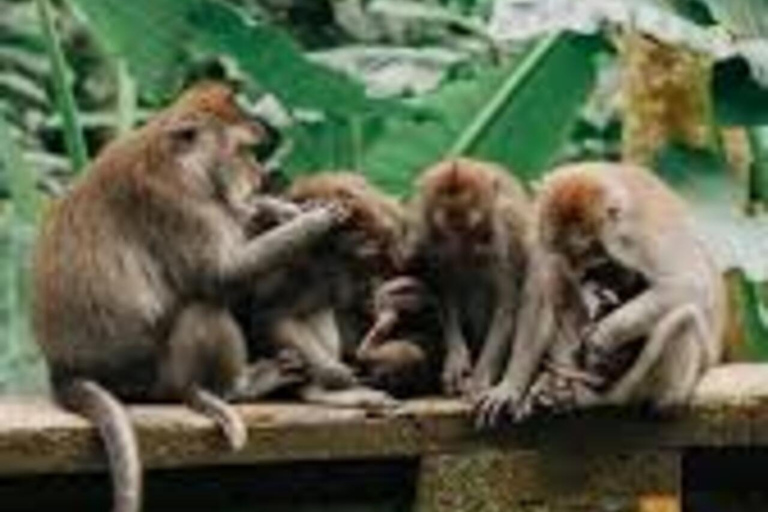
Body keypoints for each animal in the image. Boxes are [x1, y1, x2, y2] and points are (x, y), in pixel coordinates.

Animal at [32, 82, 345, 512]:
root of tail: (63, 369)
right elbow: (222, 276)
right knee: (203, 309)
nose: (260, 176)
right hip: (155, 380)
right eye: (244, 151)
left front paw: (275, 209)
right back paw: (238, 387)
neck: (181, 161)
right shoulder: (182, 206)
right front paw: (312, 222)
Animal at [406, 158, 532, 398]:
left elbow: (506, 307)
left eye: (468, 227)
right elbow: (446, 295)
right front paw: (456, 358)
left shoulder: (504, 236)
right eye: (451, 228)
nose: (463, 251)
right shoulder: (429, 240)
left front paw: (480, 377)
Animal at [474, 162, 726, 426]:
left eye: (581, 252)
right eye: (559, 248)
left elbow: (690, 283)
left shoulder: (636, 235)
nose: (575, 270)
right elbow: (540, 297)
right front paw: (511, 385)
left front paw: (603, 335)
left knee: (683, 320)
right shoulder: (540, 232)